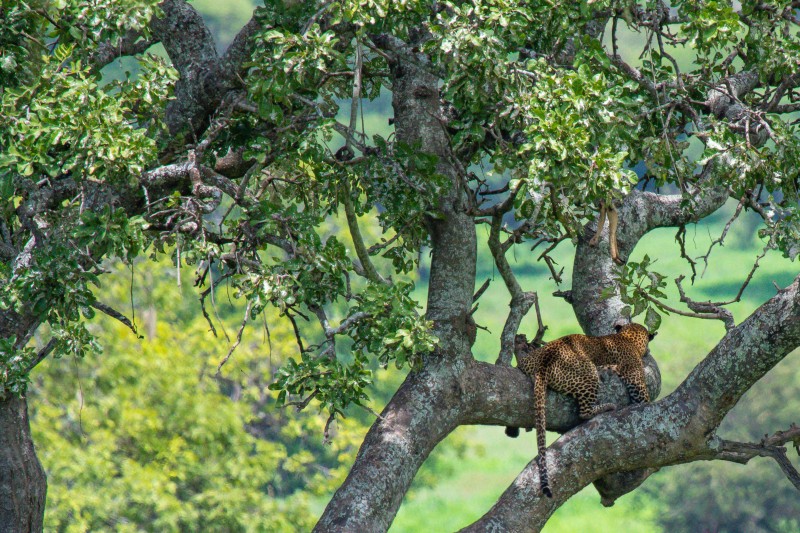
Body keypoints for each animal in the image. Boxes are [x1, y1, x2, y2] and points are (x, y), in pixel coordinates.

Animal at [506, 322, 656, 496]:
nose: (648, 352)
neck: (626, 338)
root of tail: (545, 361)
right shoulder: (636, 379)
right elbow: (644, 400)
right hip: (589, 373)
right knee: (584, 412)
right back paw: (608, 403)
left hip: (527, 363)